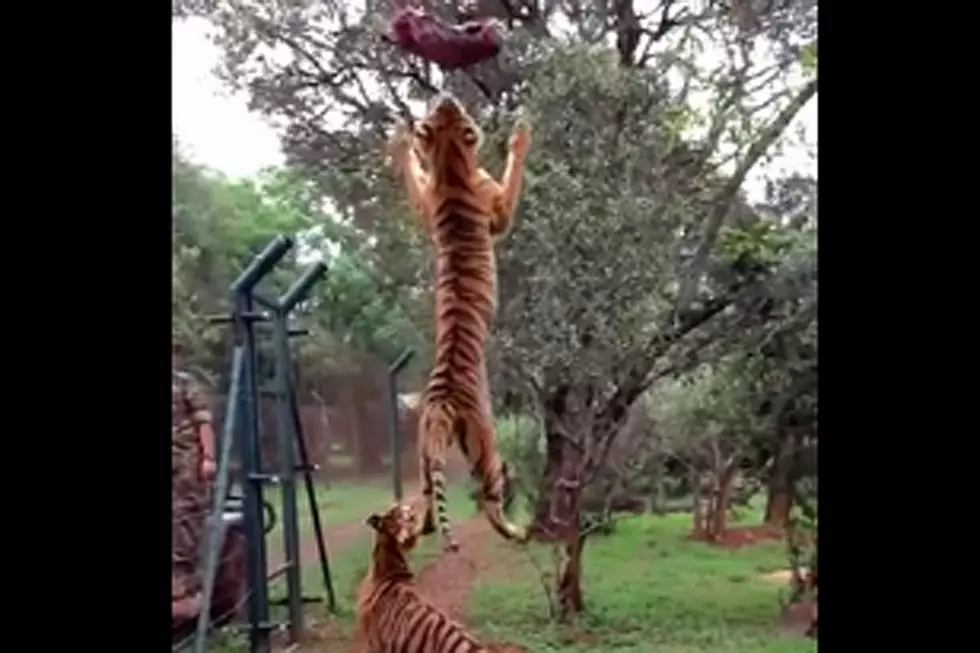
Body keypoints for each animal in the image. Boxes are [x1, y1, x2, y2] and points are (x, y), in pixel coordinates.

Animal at [389, 92, 530, 552]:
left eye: (439, 110)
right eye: (452, 110)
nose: (446, 96)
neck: (452, 164)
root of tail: (439, 405)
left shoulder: (425, 203)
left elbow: (415, 180)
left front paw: (402, 142)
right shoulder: (500, 211)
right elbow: (513, 180)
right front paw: (520, 137)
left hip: (422, 454)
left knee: (428, 507)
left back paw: (415, 532)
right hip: (488, 445)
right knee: (491, 501)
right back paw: (518, 531)